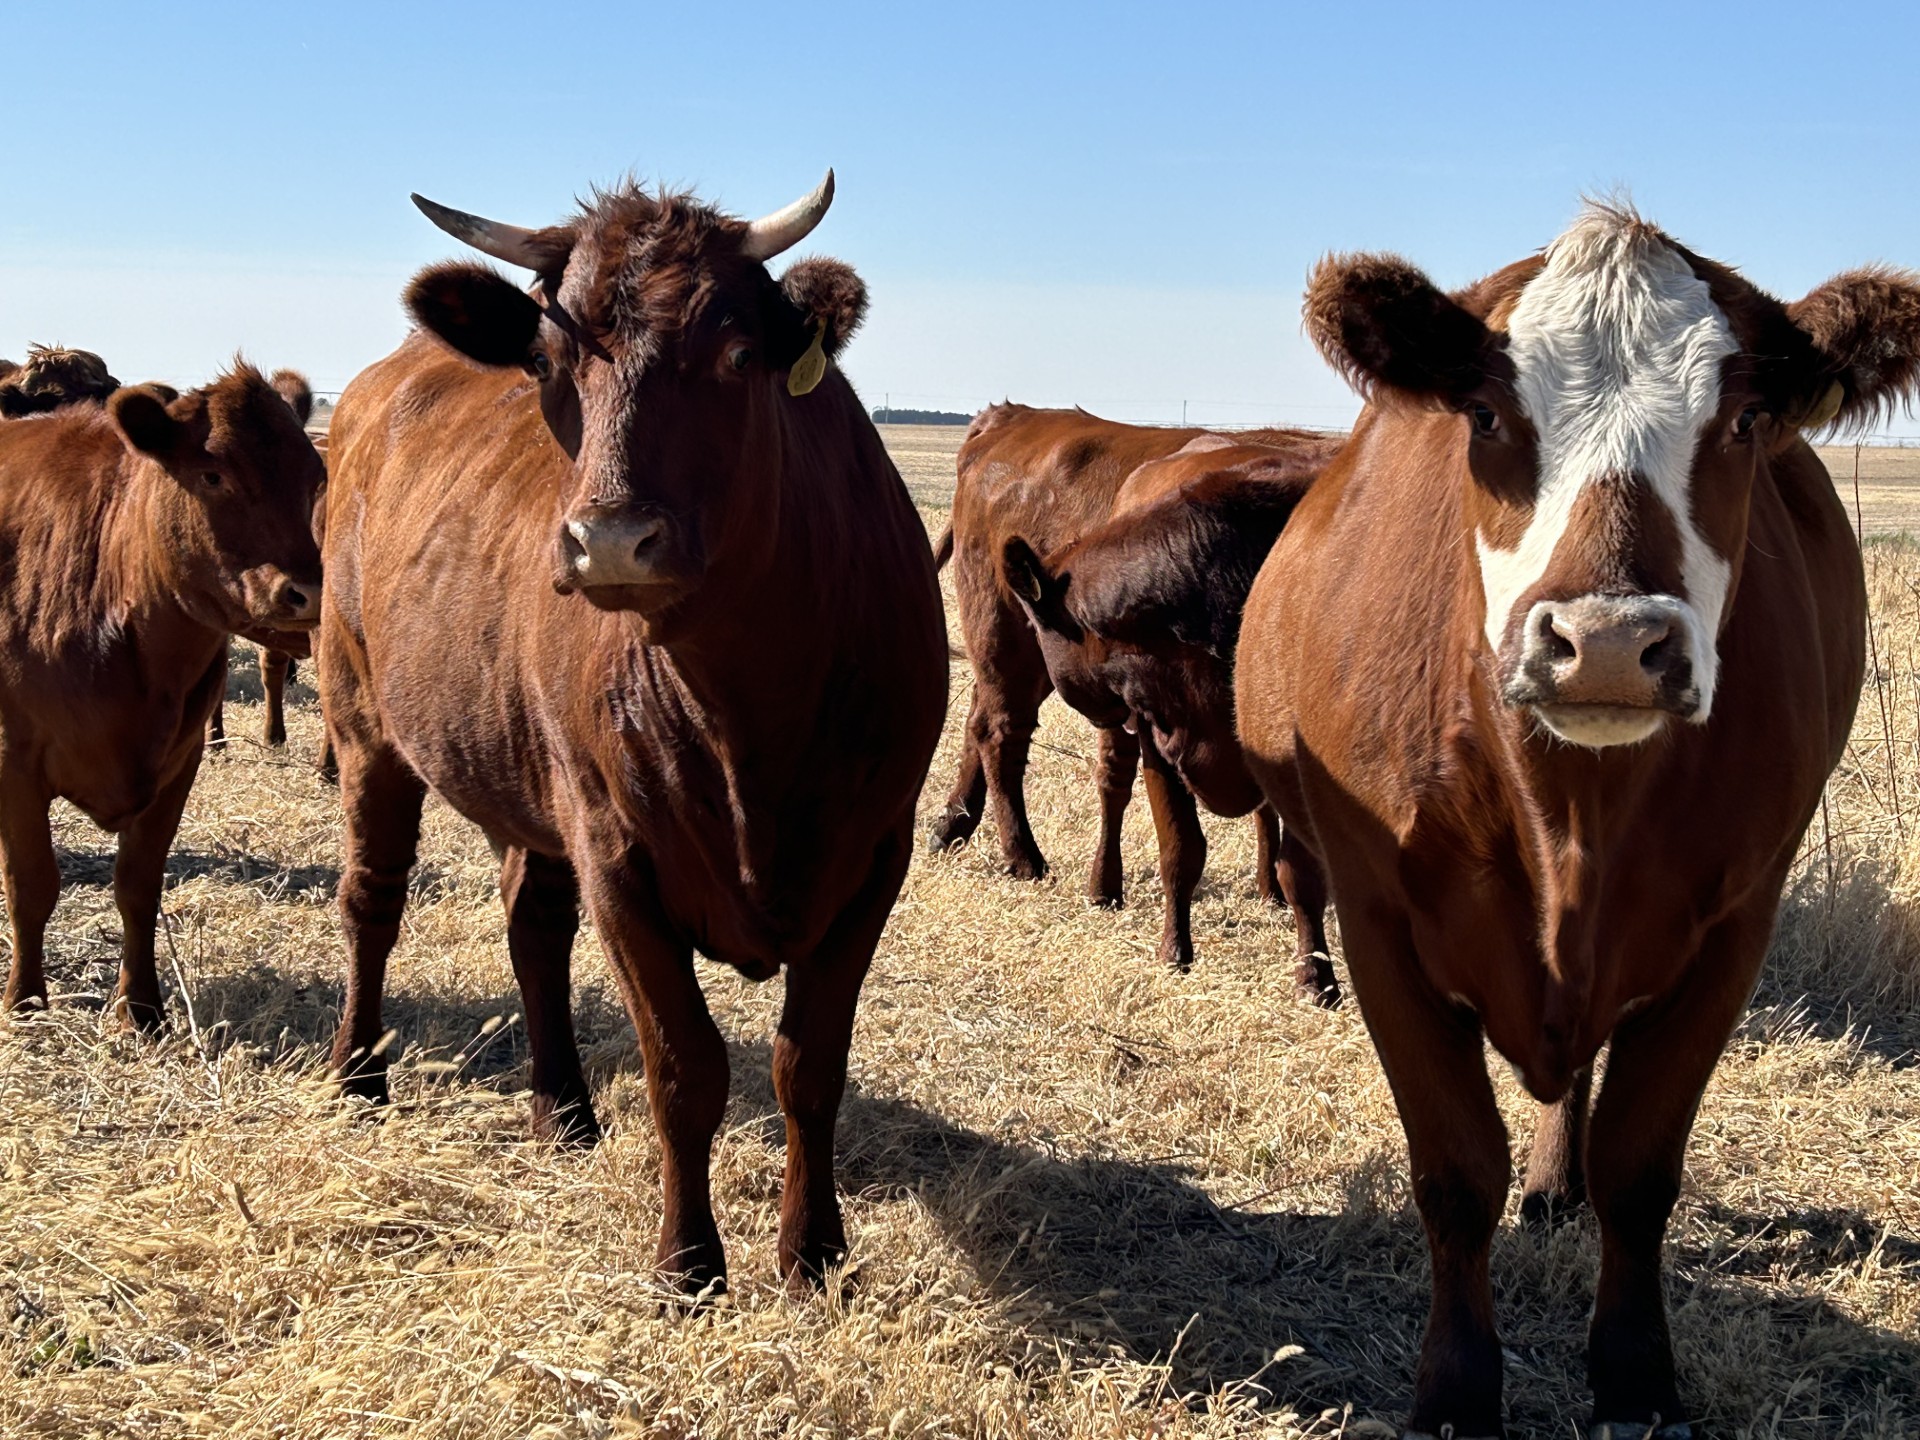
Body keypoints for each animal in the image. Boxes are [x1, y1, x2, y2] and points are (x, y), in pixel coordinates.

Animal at [0, 366, 324, 1029]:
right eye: (213, 474)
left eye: (315, 477)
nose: (307, 591)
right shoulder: (12, 760)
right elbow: (32, 884)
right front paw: (25, 1002)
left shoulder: (180, 763)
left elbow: (139, 886)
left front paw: (143, 1008)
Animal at [324, 171, 952, 1297]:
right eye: (547, 362)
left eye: (737, 355)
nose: (610, 539)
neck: (751, 709)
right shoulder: (619, 852)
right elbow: (683, 1064)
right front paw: (689, 1262)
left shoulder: (875, 857)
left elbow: (810, 1063)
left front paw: (813, 1252)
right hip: (364, 723)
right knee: (372, 900)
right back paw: (359, 1075)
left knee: (531, 924)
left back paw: (563, 1108)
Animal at [1006, 433, 1336, 990]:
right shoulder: (1155, 737)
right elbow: (1180, 850)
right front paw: (1175, 950)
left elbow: (1302, 871)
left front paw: (1317, 975)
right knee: (1113, 790)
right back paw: (1104, 886)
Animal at [1236, 200, 1912, 1436]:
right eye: (1488, 413)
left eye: (1747, 418)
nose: (1605, 643)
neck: (1570, 821)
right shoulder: (1378, 920)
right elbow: (1455, 1173)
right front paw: (1457, 1390)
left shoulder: (1734, 928)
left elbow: (1640, 1169)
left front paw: (1636, 1378)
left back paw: (1561, 1177)